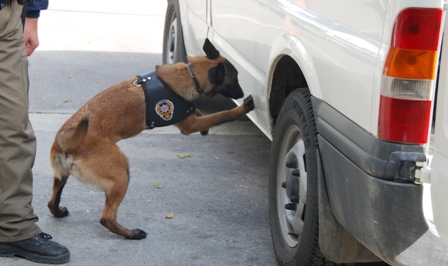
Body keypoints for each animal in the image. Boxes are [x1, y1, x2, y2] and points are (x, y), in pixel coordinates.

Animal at [48, 39, 256, 239]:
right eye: (235, 81)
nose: (241, 94)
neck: (191, 74)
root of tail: (65, 144)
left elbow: (200, 113)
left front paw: (202, 118)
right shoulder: (189, 126)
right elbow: (221, 115)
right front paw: (241, 108)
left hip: (62, 177)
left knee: (52, 202)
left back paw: (58, 211)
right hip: (121, 173)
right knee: (106, 218)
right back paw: (131, 234)